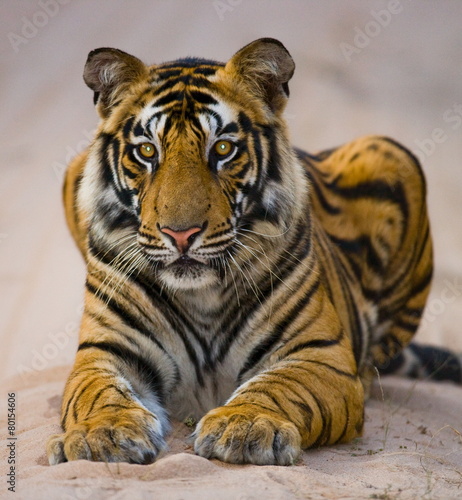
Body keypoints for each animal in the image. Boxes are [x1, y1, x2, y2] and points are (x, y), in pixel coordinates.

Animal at [46, 37, 458, 466]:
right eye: (146, 152)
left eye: (223, 149)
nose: (180, 234)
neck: (201, 297)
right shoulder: (105, 351)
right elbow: (97, 394)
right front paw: (102, 434)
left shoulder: (318, 354)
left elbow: (281, 387)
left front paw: (245, 425)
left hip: (391, 152)